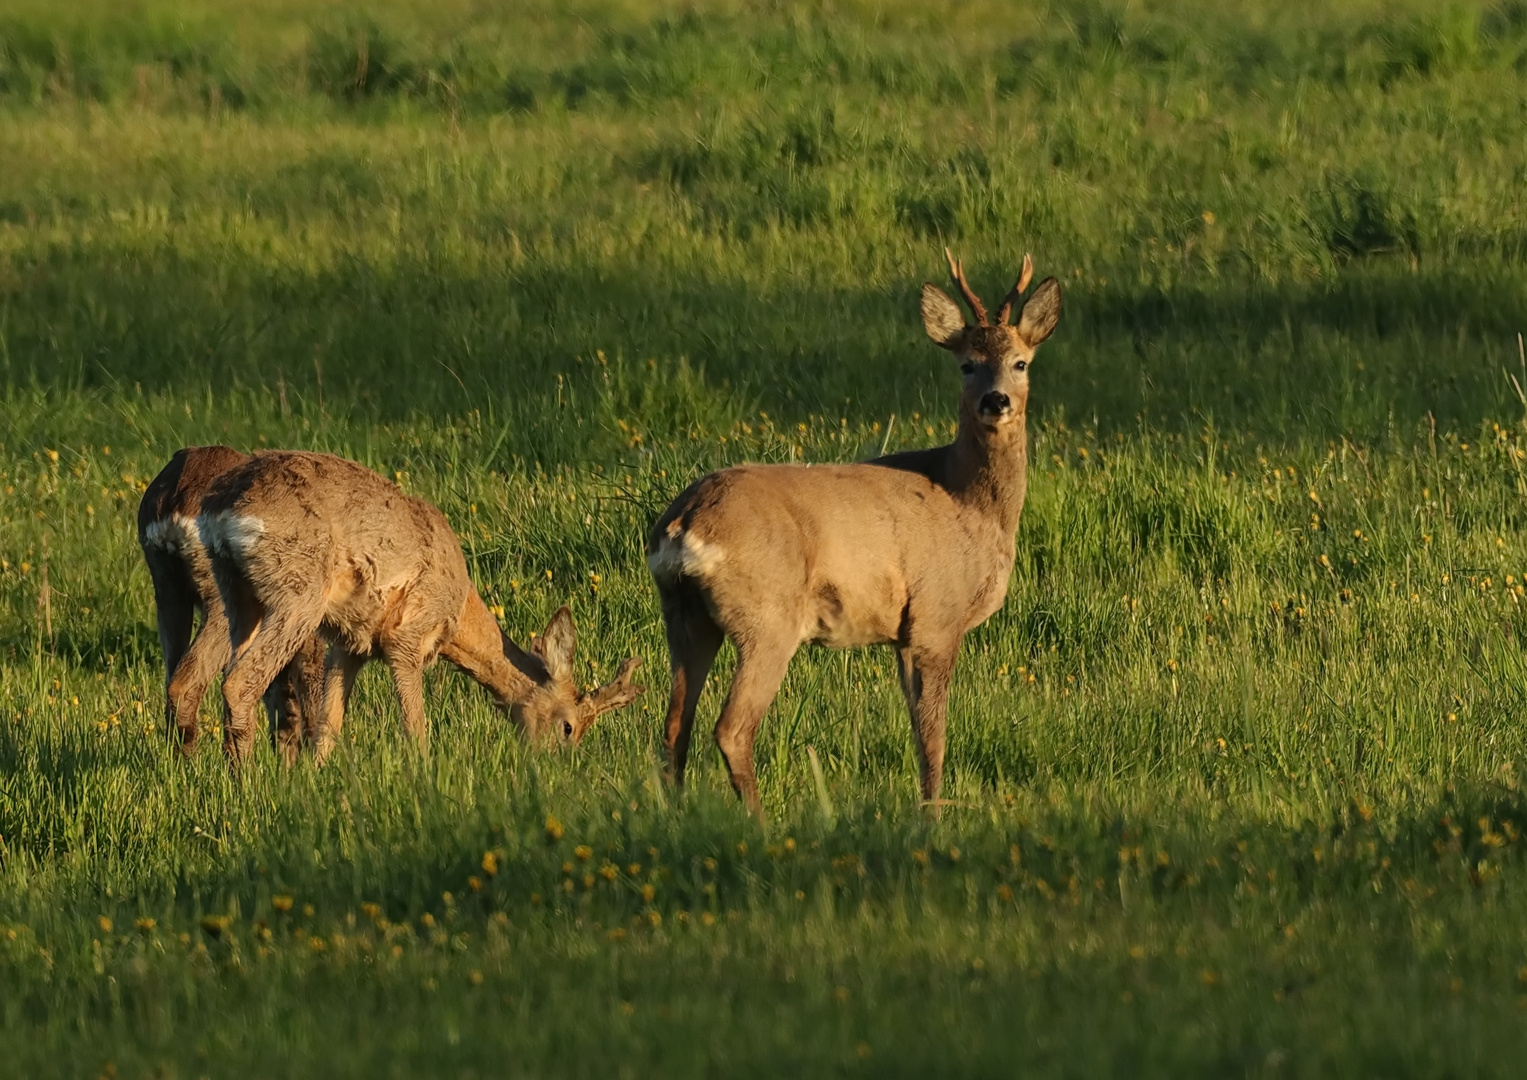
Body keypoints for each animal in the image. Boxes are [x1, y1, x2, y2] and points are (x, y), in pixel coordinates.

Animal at [198, 452, 644, 763]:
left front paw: (316, 775)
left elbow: (329, 725)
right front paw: (424, 774)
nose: (559, 765)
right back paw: (247, 782)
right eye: (569, 727)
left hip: (238, 595)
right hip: (298, 592)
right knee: (239, 681)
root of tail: (224, 507)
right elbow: (415, 727)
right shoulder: (408, 635)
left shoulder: (350, 644)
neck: (460, 609)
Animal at [647, 252, 1062, 812]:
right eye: (967, 364)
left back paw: (677, 814)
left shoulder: (902, 634)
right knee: (731, 728)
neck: (968, 502)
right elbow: (935, 737)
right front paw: (933, 815)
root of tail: (682, 522)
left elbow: (918, 731)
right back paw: (758, 819)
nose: (996, 401)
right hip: (767, 617)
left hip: (684, 616)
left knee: (674, 727)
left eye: (1021, 362)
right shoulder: (936, 615)